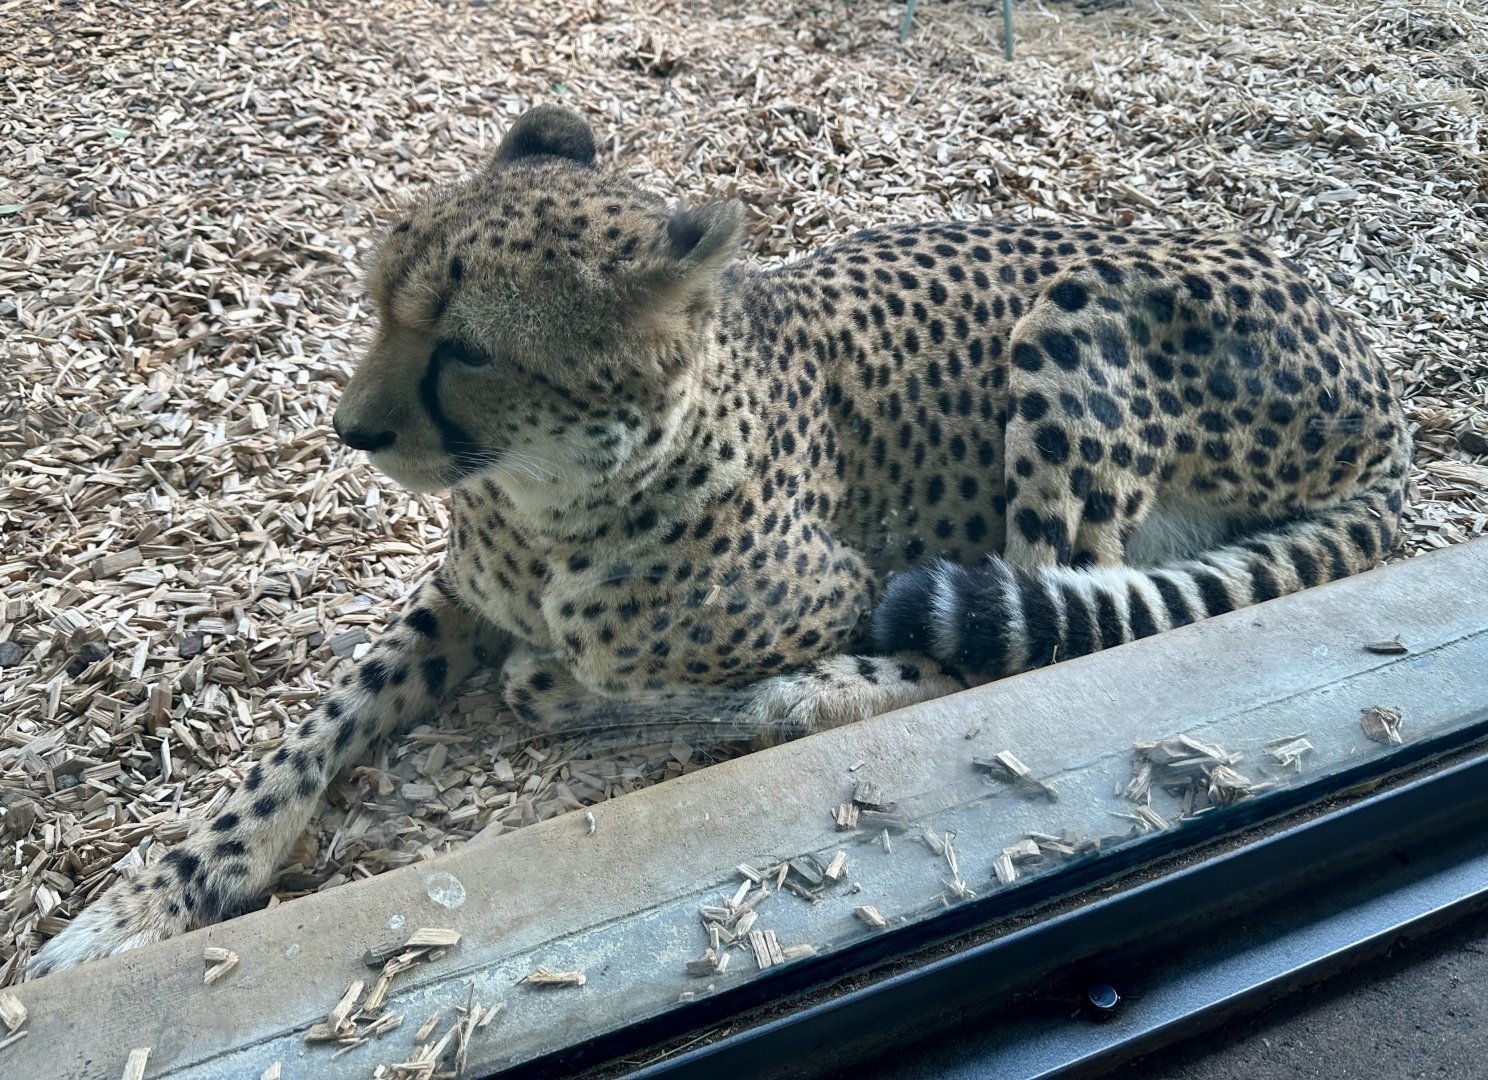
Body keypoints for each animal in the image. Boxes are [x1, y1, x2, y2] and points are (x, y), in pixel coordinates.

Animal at [29, 104, 1409, 976]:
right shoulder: (460, 591)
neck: (553, 492)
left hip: (1074, 325)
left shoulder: (841, 580)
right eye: (375, 304)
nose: (350, 429)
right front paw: (160, 891)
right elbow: (315, 728)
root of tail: (1380, 382)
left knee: (1053, 612)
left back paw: (797, 696)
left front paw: (592, 684)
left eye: (466, 348)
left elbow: (626, 663)